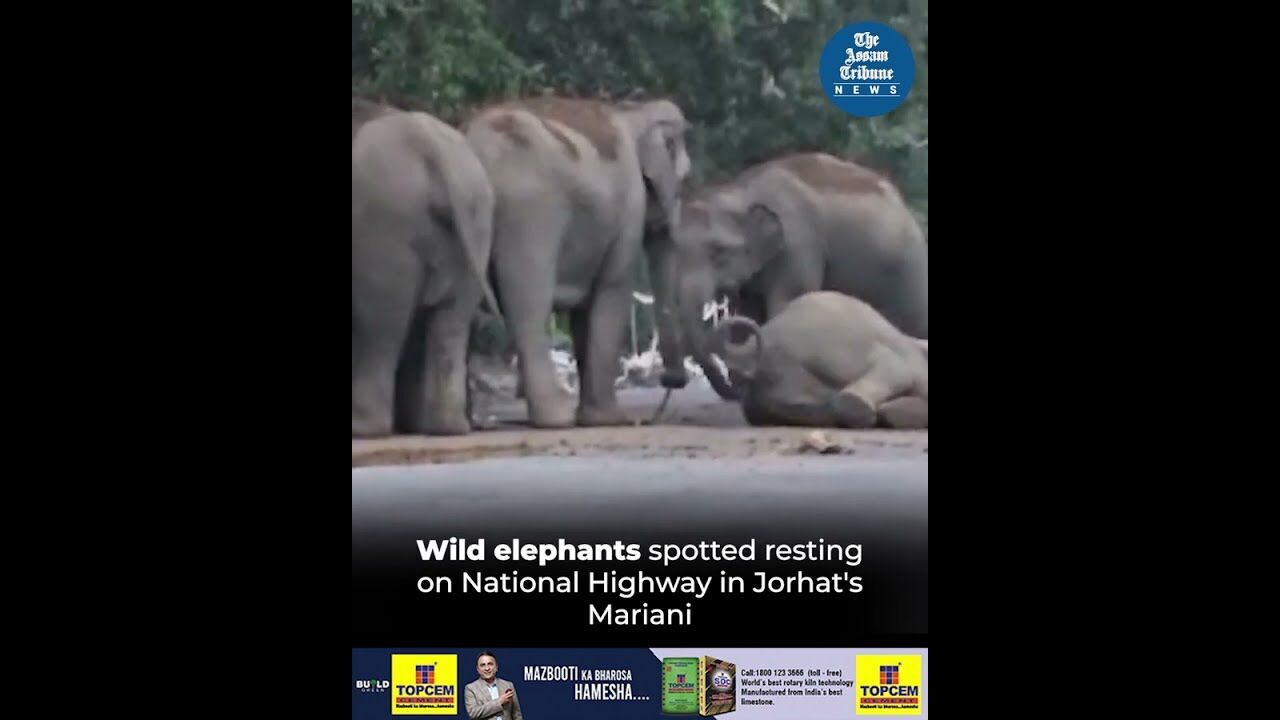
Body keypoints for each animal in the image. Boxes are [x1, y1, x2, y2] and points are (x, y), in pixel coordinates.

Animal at [352, 108, 501, 437]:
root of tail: (430, 146)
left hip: (385, 227)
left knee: (379, 326)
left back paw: (365, 428)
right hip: (477, 219)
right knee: (450, 323)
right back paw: (447, 427)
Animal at [462, 96, 691, 427]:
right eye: (684, 181)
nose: (672, 381)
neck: (633, 112)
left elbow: (584, 314)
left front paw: (594, 416)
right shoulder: (629, 209)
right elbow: (613, 289)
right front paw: (610, 419)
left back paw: (465, 423)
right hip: (531, 219)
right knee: (529, 306)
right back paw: (556, 418)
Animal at [650, 151, 927, 400]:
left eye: (719, 252)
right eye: (675, 250)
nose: (671, 380)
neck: (741, 191)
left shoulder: (799, 243)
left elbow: (786, 302)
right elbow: (747, 313)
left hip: (909, 265)